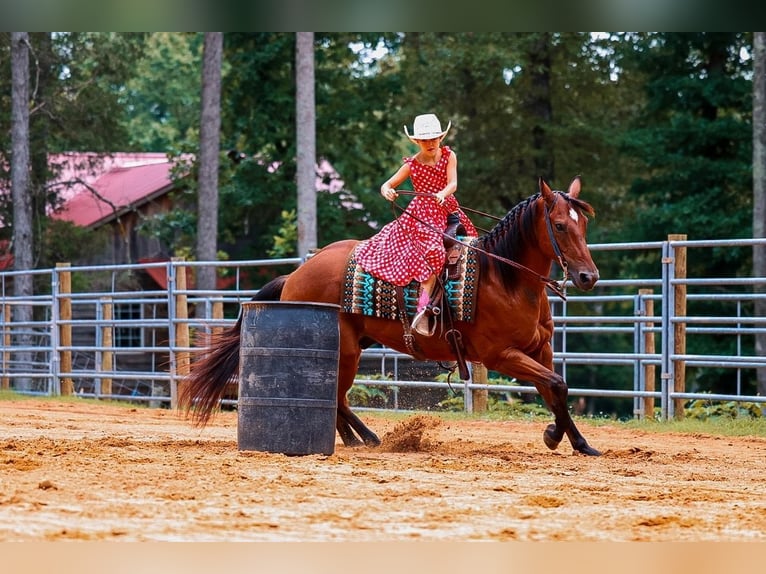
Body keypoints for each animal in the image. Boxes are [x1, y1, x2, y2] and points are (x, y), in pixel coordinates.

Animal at [179, 175, 602, 456]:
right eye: (560, 225)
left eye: (584, 224)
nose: (588, 276)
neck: (506, 278)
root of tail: (297, 273)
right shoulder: (501, 356)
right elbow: (557, 386)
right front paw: (558, 437)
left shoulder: (540, 350)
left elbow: (555, 389)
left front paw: (575, 440)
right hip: (346, 351)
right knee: (337, 397)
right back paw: (364, 438)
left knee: (337, 399)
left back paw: (360, 438)